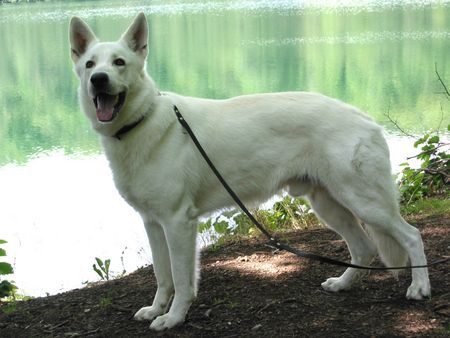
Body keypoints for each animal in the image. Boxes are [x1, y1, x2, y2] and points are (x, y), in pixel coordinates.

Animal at [68, 12, 430, 330]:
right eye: (90, 65)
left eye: (119, 63)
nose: (99, 80)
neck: (142, 121)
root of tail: (367, 119)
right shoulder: (153, 223)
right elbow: (162, 275)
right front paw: (157, 309)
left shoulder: (178, 223)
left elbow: (182, 281)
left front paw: (173, 318)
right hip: (329, 205)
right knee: (364, 247)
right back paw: (343, 284)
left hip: (365, 203)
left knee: (411, 235)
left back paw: (420, 288)